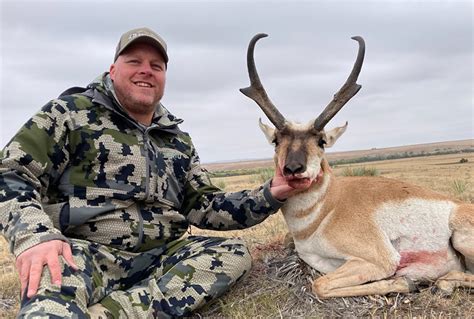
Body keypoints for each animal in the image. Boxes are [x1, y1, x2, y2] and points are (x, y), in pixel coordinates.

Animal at [241, 33, 474, 298]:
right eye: (276, 141)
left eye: (321, 141)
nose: (293, 169)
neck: (327, 208)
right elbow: (320, 282)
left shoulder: (379, 260)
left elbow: (319, 285)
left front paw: (405, 282)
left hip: (460, 236)